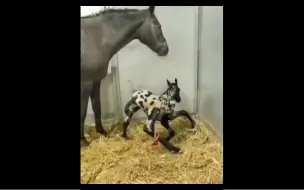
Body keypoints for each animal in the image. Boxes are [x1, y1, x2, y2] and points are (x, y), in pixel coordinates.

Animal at [80, 6, 169, 147]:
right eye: (158, 26)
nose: (165, 49)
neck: (95, 39)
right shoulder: (86, 83)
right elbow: (83, 112)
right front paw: (83, 140)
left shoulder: (96, 81)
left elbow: (97, 106)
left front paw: (102, 132)